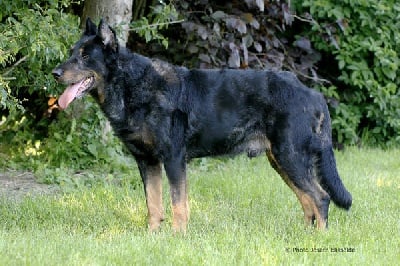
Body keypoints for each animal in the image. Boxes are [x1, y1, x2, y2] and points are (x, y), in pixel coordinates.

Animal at [51, 18, 352, 233]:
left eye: (85, 56)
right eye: (71, 53)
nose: (55, 73)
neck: (132, 84)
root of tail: (313, 94)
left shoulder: (173, 159)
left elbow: (178, 203)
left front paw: (177, 237)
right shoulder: (147, 161)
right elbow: (154, 205)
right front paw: (152, 237)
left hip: (291, 157)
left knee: (321, 198)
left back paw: (319, 240)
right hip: (281, 161)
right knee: (308, 201)